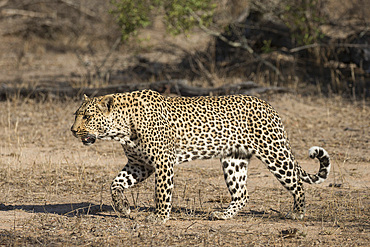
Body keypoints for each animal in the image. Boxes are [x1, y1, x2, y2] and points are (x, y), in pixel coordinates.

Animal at [71, 89, 330, 223]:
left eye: (87, 117)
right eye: (76, 115)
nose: (72, 130)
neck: (122, 129)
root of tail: (269, 106)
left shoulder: (162, 162)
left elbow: (161, 193)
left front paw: (159, 217)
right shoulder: (139, 164)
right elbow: (115, 184)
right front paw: (123, 208)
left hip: (274, 153)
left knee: (297, 184)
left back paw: (297, 213)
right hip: (234, 160)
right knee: (242, 194)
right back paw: (223, 215)